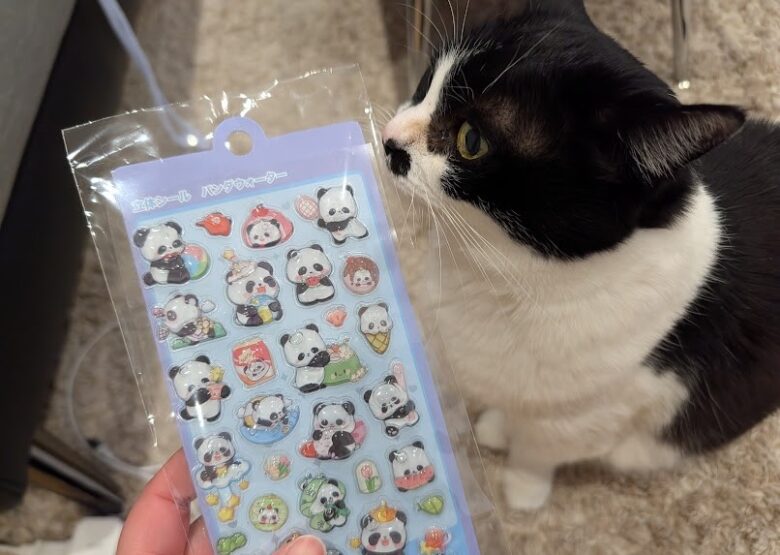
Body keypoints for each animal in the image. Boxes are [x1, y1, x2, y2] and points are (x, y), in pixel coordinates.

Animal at [382, 0, 780, 510]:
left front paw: (523, 489)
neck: (497, 275)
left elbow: (538, 447)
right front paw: (497, 426)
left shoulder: (596, 413)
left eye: (471, 140)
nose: (389, 137)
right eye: (425, 82)